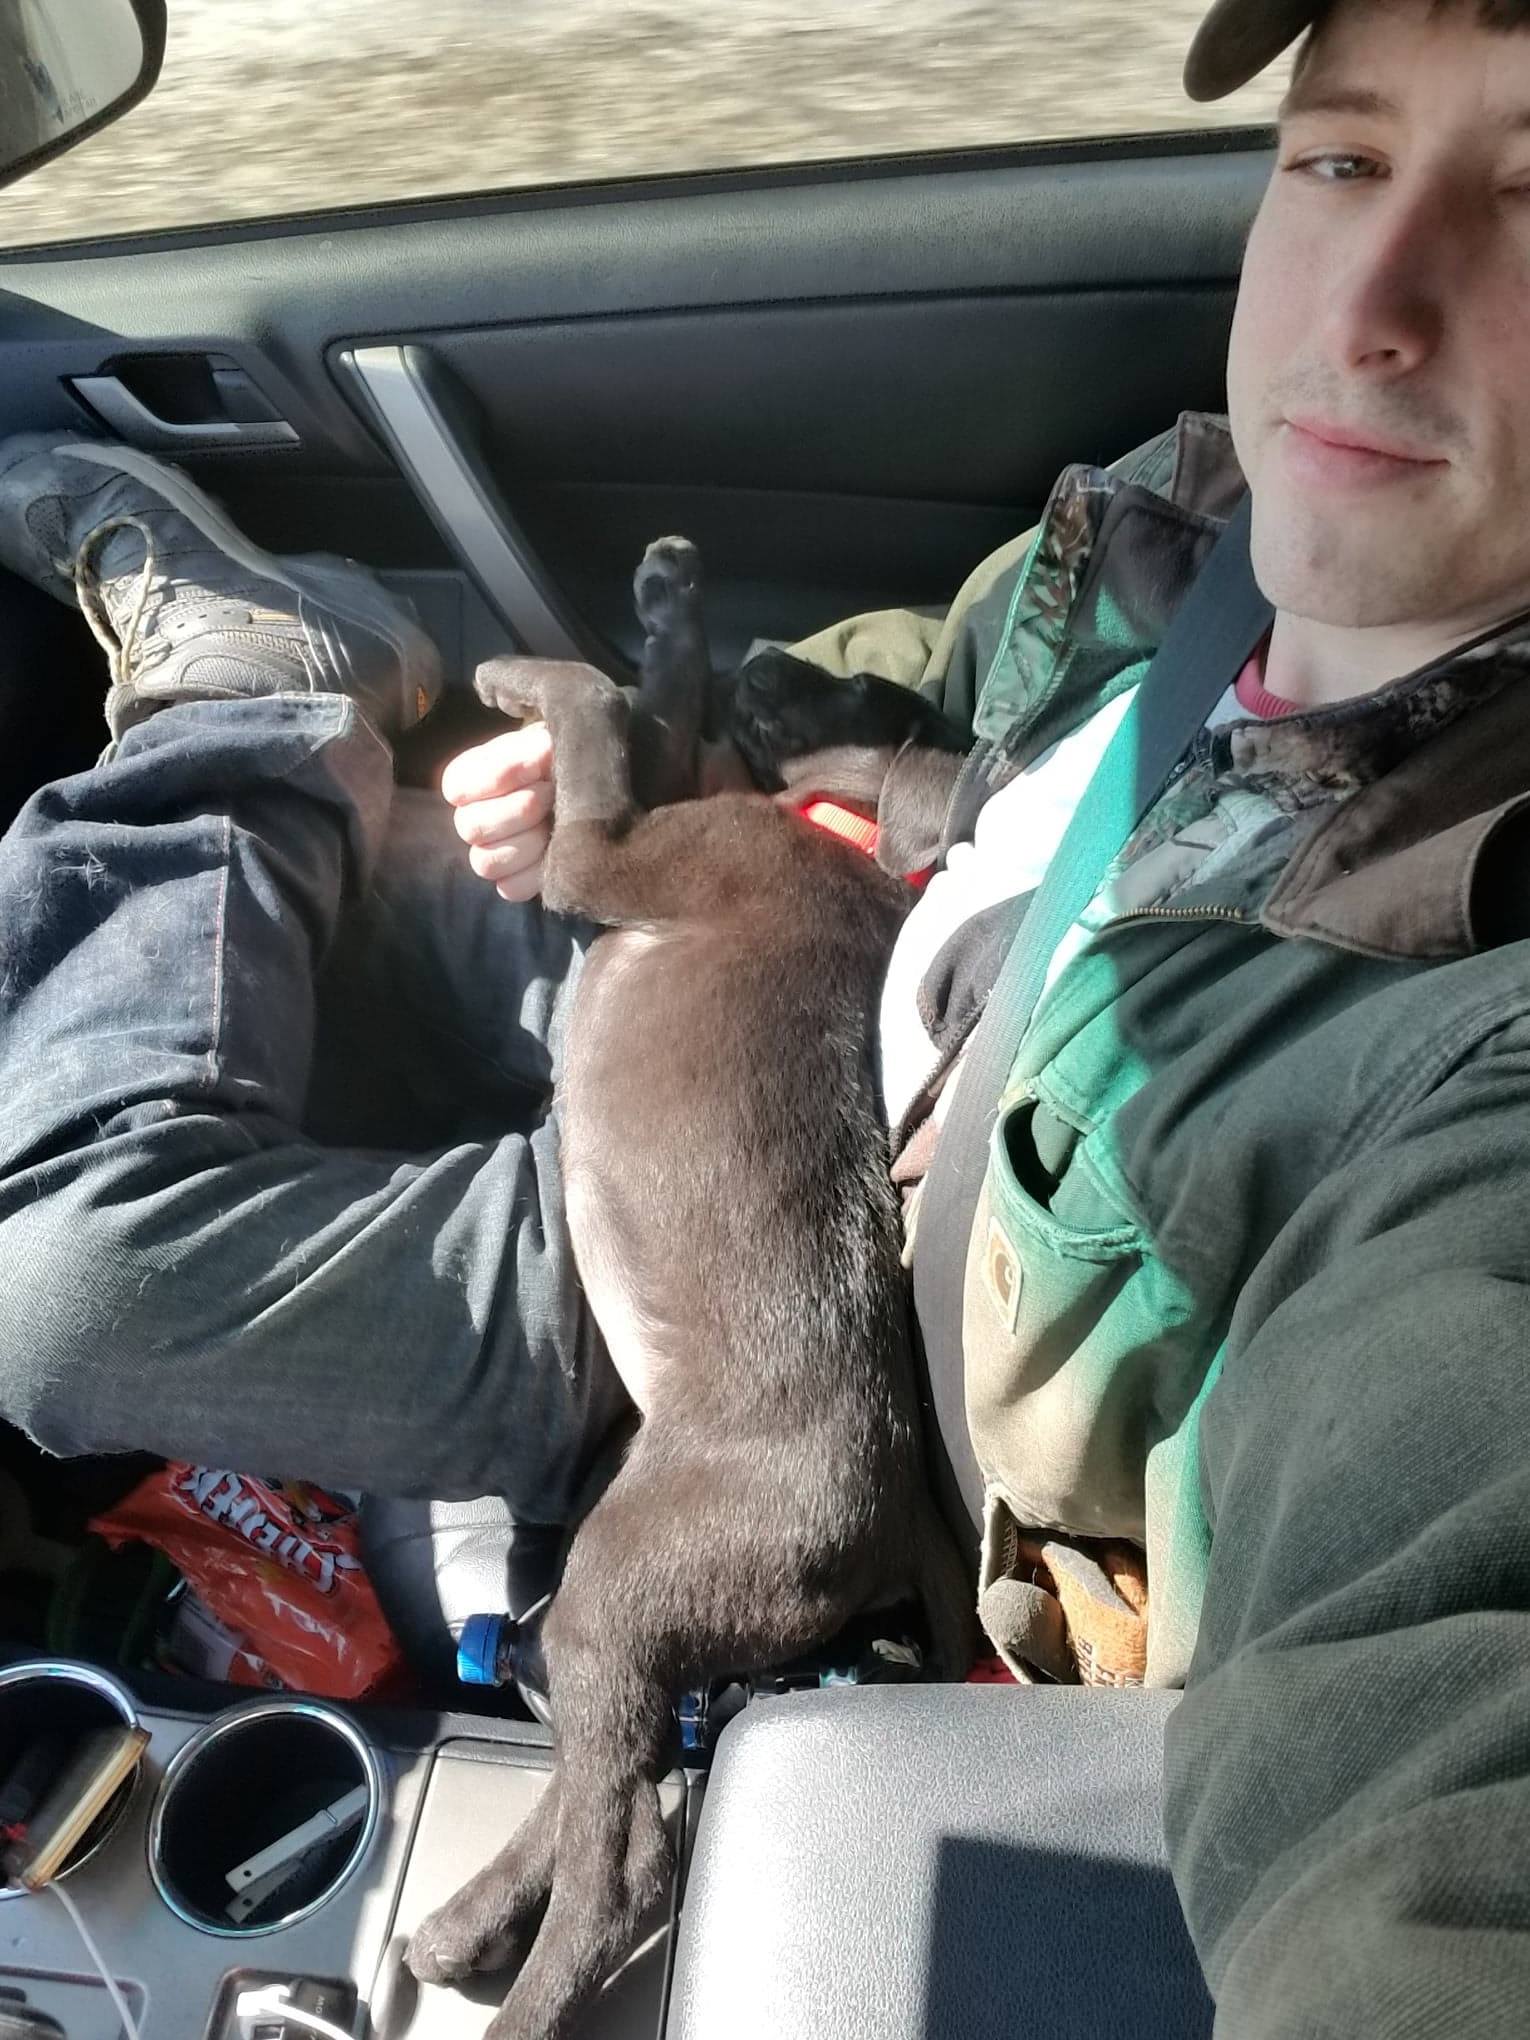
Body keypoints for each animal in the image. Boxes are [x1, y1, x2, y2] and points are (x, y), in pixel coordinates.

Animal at [410, 538, 971, 2040]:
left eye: (857, 685)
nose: (770, 652)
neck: (836, 826)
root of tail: (896, 1528)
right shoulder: (660, 782)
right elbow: (647, 704)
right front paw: (669, 604)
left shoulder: (604, 847)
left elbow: (595, 707)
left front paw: (525, 675)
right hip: (614, 1596)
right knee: (613, 1788)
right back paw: (468, 1920)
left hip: (623, 1577)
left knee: (628, 1865)